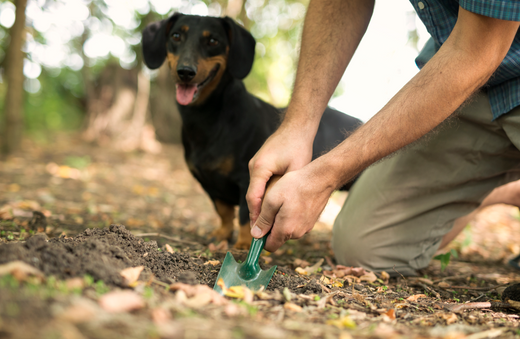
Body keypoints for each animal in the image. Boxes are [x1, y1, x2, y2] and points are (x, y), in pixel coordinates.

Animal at [142, 13, 362, 250]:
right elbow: (224, 212)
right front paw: (222, 235)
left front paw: (243, 244)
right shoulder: (209, 184)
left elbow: (245, 216)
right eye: (175, 36)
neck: (209, 119)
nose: (185, 72)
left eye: (213, 41)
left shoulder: (248, 179)